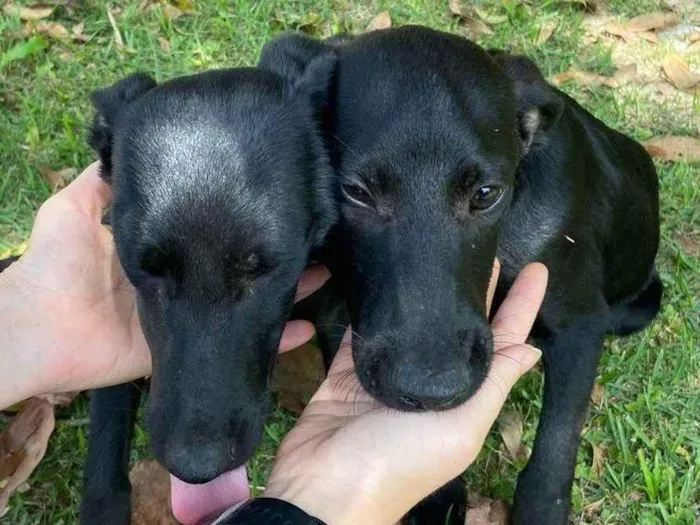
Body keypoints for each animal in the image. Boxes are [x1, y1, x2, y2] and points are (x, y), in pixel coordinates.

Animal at [260, 25, 660, 524]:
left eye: (486, 194)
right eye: (354, 192)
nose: (431, 391)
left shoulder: (579, 325)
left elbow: (557, 443)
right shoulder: (335, 306)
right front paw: (436, 497)